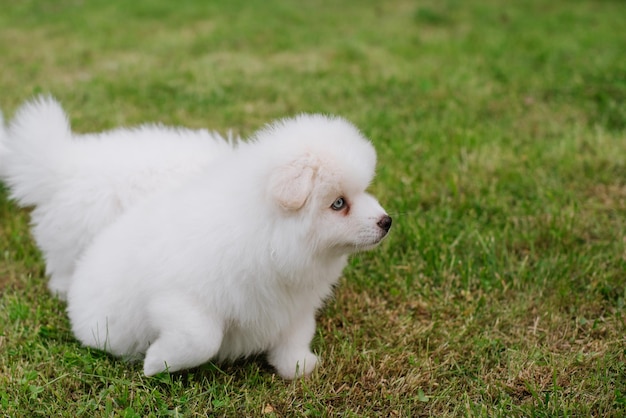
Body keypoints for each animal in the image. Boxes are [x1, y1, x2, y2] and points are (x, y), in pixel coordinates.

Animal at [68, 113, 390, 378]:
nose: (386, 222)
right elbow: (203, 339)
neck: (269, 238)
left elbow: (297, 335)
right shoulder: (179, 299)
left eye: (363, 192)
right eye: (339, 203)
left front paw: (298, 365)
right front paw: (156, 362)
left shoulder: (294, 305)